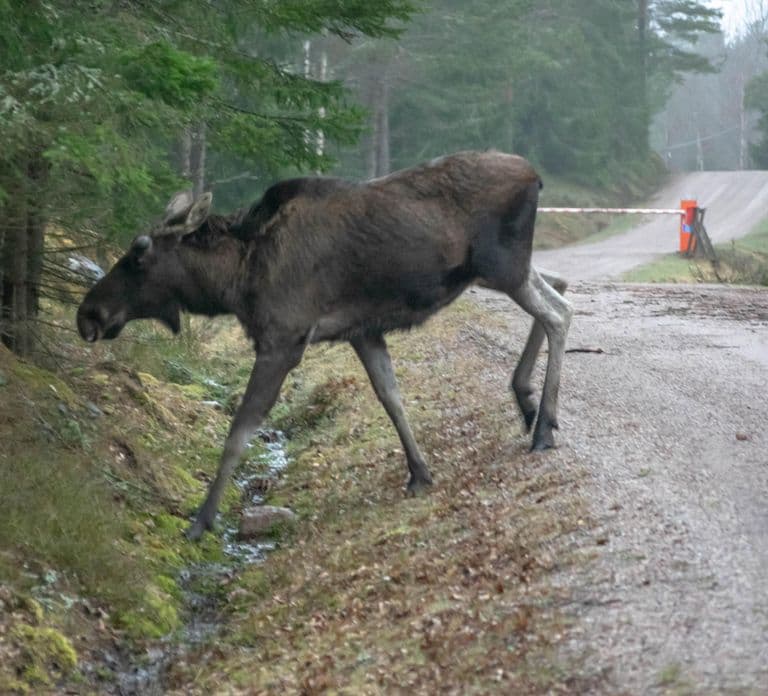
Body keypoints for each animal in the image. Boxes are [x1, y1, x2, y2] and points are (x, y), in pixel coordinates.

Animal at [77, 151, 572, 540]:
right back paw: (528, 405)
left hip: (500, 266)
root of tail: (536, 176)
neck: (235, 279)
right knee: (561, 291)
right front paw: (419, 472)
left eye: (139, 253)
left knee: (558, 314)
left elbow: (238, 432)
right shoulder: (362, 331)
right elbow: (391, 397)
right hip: (504, 270)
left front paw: (202, 521)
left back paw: (543, 425)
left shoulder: (283, 340)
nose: (88, 315)